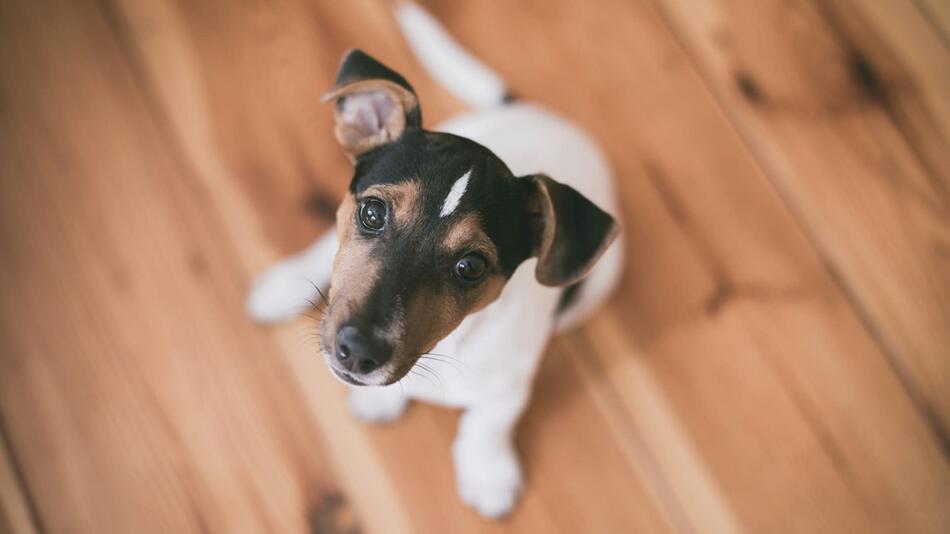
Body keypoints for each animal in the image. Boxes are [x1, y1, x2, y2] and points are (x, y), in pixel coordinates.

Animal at [249, 3, 628, 520]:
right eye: (372, 213)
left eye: (471, 266)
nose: (358, 352)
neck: (449, 345)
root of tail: (542, 116)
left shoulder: (509, 385)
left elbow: (488, 423)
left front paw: (487, 472)